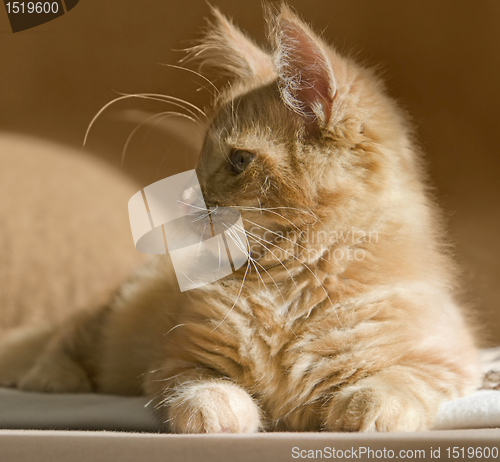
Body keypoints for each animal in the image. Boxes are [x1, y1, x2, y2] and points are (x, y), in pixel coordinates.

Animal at [0, 4, 480, 434]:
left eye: (239, 161)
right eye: (199, 159)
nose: (185, 199)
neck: (289, 285)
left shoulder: (447, 356)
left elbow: (398, 379)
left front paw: (366, 409)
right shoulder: (176, 361)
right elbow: (204, 388)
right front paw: (220, 412)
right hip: (110, 314)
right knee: (65, 337)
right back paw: (51, 376)